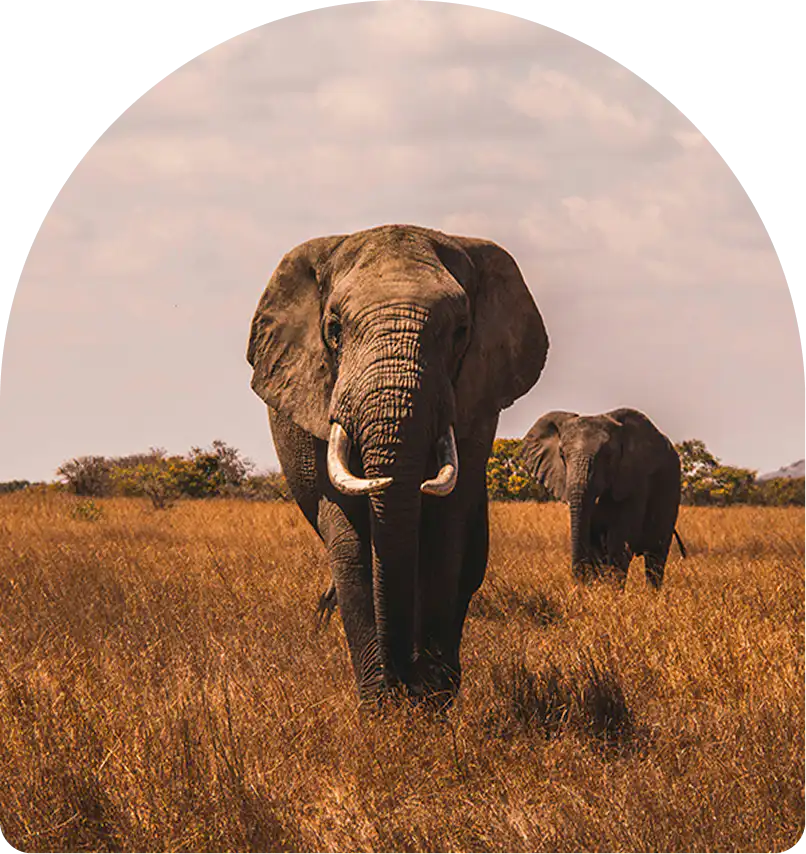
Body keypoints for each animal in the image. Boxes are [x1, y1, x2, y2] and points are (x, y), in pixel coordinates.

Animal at [247, 224, 549, 706]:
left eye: (461, 331)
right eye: (334, 329)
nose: (405, 679)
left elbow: (445, 534)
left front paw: (431, 702)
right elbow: (350, 542)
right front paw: (381, 708)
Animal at [519, 408, 686, 589]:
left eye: (608, 455)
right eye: (562, 455)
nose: (579, 584)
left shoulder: (635, 480)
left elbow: (619, 541)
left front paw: (612, 592)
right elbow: (595, 544)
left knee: (656, 556)